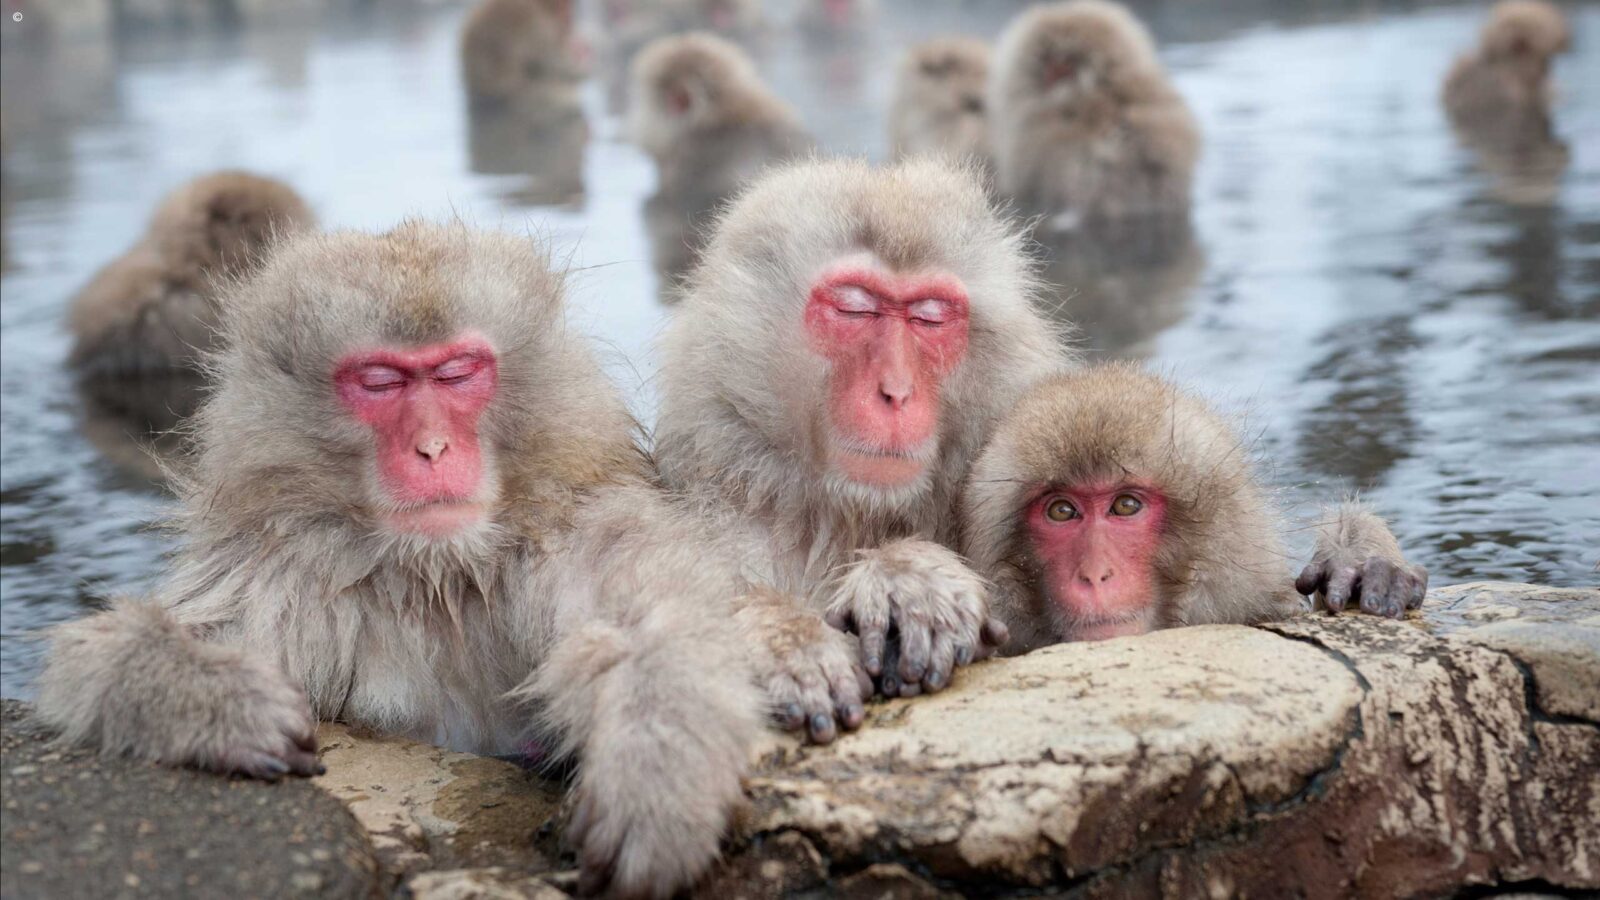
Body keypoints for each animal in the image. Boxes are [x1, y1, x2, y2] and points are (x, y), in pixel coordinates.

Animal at [35, 221, 765, 898]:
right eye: (381, 382)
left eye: (457, 372)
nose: (433, 448)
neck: (435, 574)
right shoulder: (278, 572)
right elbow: (97, 657)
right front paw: (219, 700)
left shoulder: (572, 532)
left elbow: (654, 622)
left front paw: (655, 776)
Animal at [656, 157, 1074, 738]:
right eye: (854, 310)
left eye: (929, 316)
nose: (895, 391)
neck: (847, 517)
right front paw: (786, 639)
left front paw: (910, 578)